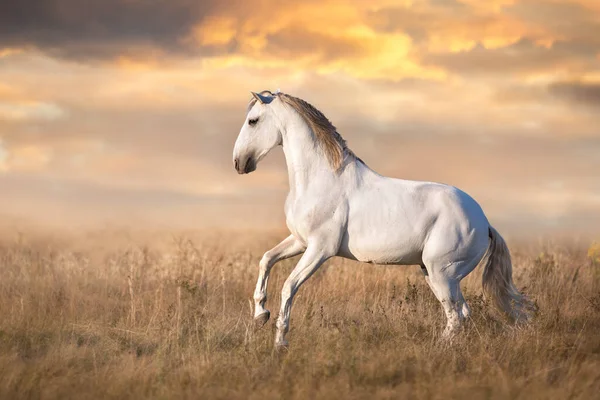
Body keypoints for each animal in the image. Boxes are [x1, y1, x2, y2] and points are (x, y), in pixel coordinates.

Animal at [232, 90, 532, 346]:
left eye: (253, 120)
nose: (239, 163)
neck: (320, 179)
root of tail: (484, 223)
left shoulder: (320, 249)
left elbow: (289, 286)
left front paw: (280, 342)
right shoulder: (300, 241)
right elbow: (266, 260)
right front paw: (260, 314)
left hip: (442, 273)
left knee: (455, 317)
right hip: (438, 274)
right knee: (463, 313)